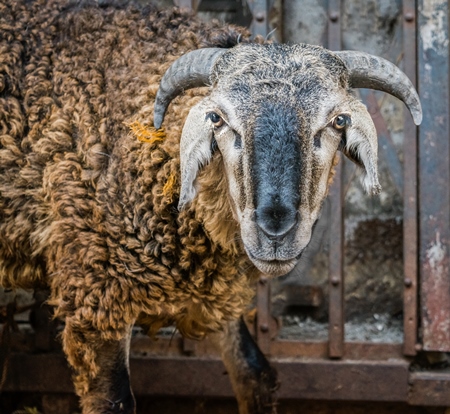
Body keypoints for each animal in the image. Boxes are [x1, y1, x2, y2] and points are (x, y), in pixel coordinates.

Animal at [0, 0, 422, 414]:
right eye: (217, 118)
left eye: (337, 121)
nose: (275, 231)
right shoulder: (96, 293)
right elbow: (114, 401)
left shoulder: (217, 286)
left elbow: (255, 373)